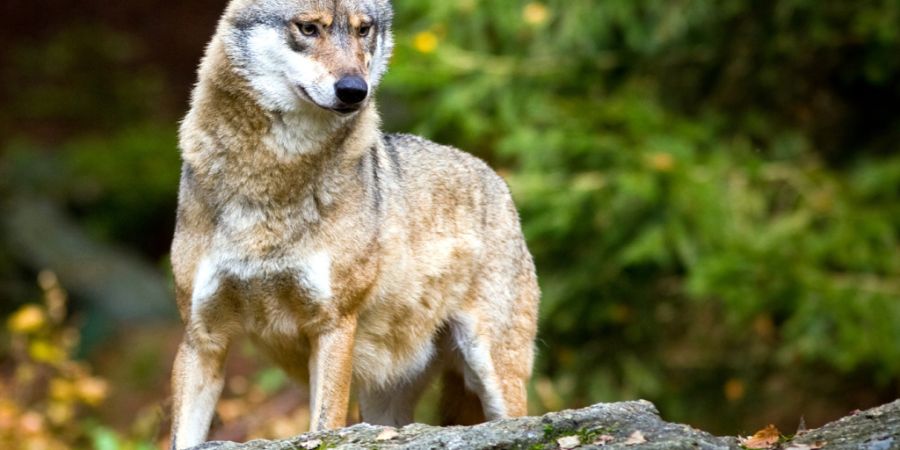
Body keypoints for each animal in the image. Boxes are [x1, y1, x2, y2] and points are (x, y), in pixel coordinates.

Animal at [169, 0, 540, 448]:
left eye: (364, 30)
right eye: (309, 28)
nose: (353, 90)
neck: (270, 182)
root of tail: (497, 179)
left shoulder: (333, 326)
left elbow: (324, 424)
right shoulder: (201, 338)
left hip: (493, 374)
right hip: (384, 404)